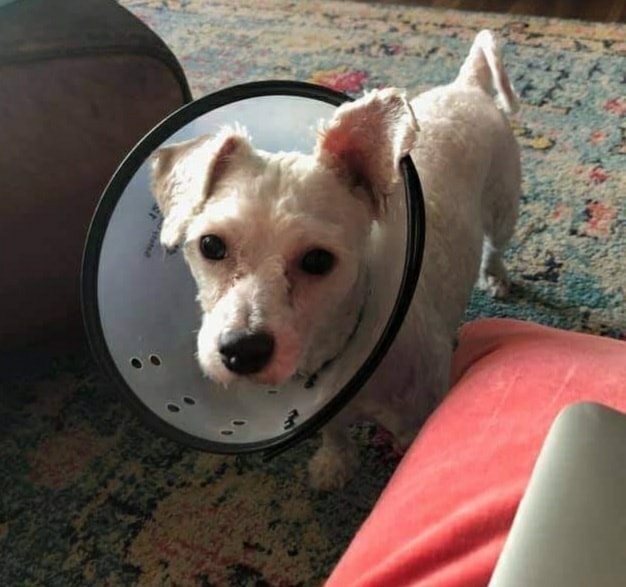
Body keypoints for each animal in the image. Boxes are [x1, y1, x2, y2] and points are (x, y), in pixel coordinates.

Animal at [150, 31, 516, 492]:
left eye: (318, 260)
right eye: (211, 245)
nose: (242, 351)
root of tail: (466, 86)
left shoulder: (418, 420)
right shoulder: (325, 411)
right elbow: (335, 433)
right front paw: (334, 464)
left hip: (504, 207)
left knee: (496, 246)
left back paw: (496, 276)